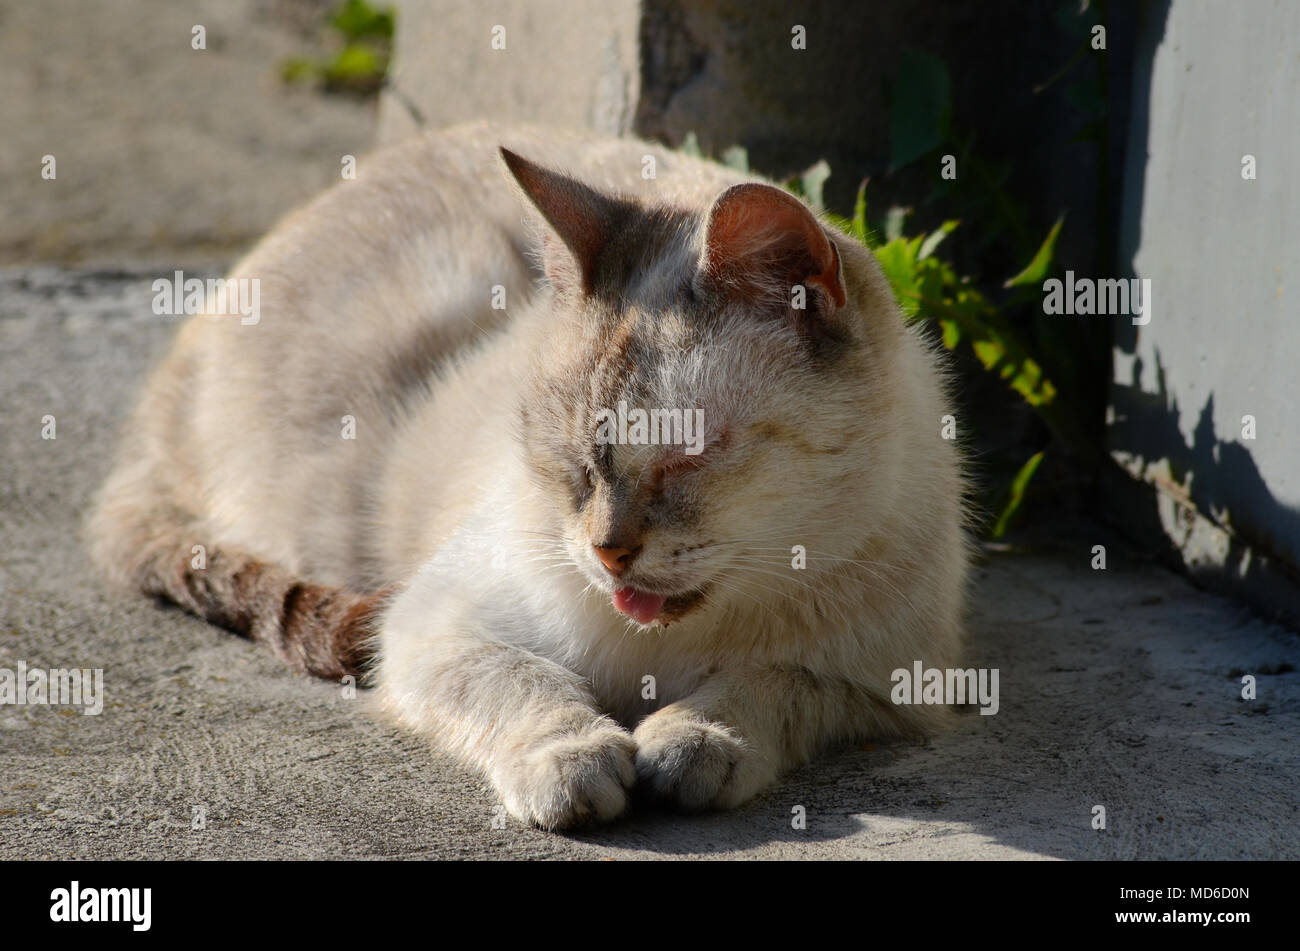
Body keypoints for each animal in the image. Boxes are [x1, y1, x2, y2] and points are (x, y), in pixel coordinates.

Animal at [89, 118, 967, 826]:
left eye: (688, 456)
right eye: (572, 462)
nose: (609, 552)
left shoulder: (884, 689)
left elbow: (766, 683)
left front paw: (693, 739)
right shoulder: (434, 623)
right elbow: (526, 681)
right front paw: (578, 760)